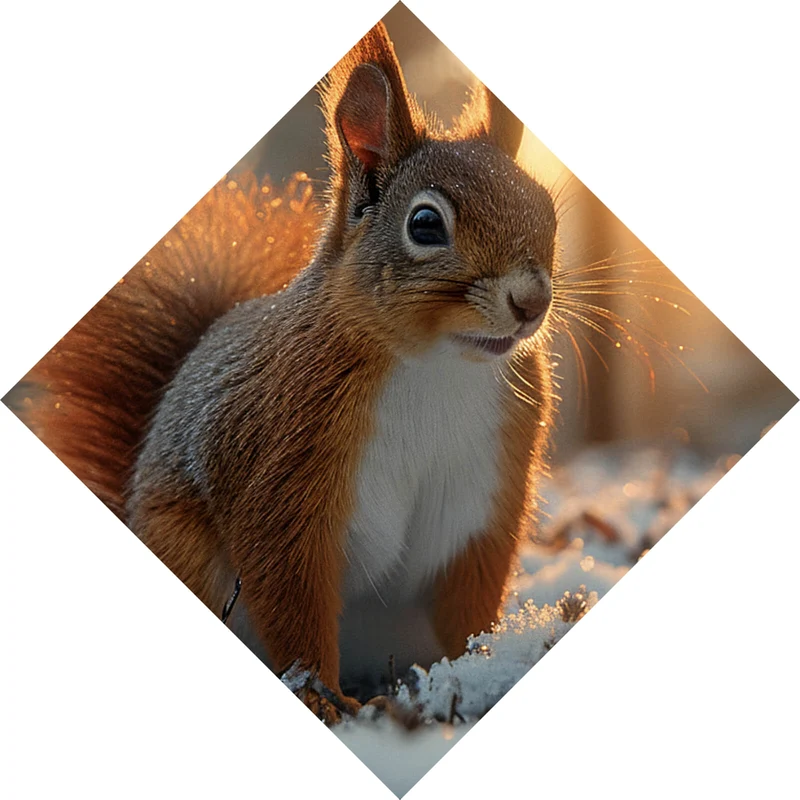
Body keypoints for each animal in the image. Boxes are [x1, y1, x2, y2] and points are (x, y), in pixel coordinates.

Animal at [16, 22, 557, 723]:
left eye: (546, 207)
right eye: (425, 223)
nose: (531, 302)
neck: (438, 365)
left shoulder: (484, 495)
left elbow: (471, 592)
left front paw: (481, 665)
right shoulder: (281, 462)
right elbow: (290, 587)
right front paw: (322, 699)